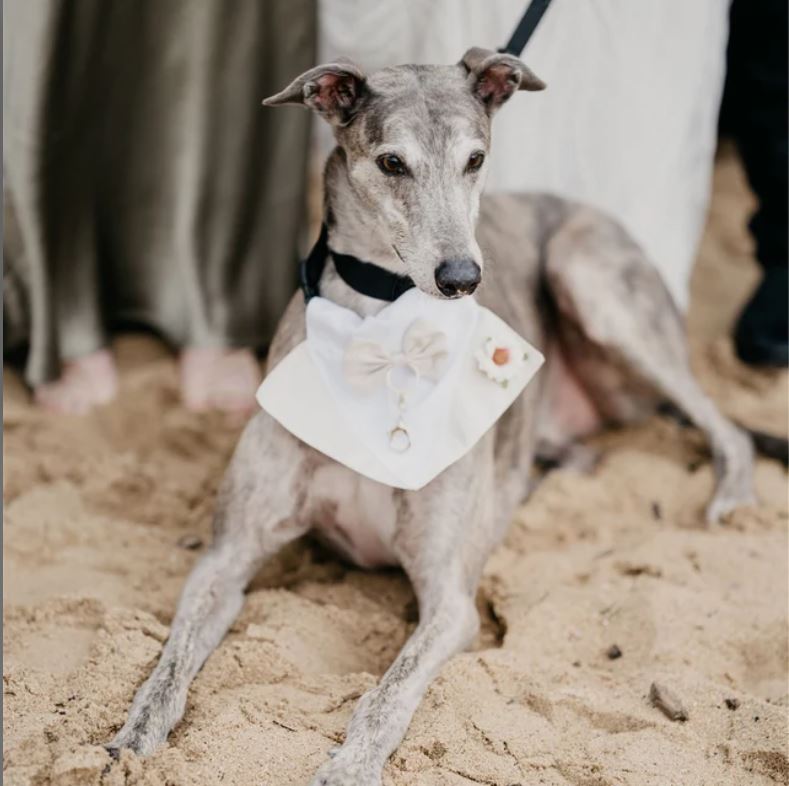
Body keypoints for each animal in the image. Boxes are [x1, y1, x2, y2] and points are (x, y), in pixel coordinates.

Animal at [107, 50, 756, 784]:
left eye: (476, 159)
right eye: (392, 163)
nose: (462, 277)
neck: (382, 330)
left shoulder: (449, 603)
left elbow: (388, 692)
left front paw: (349, 768)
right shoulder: (226, 557)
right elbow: (174, 655)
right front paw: (134, 736)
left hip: (590, 277)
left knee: (728, 427)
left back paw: (728, 498)